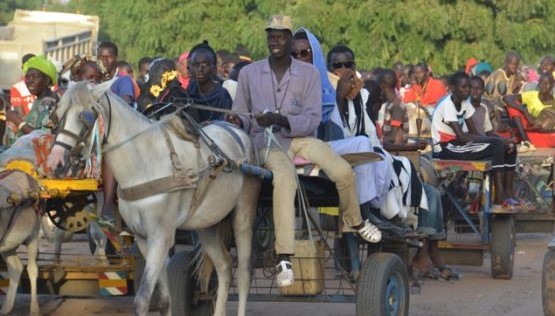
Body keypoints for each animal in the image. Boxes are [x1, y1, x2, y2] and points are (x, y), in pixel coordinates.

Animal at [0, 172, 40, 314]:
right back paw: (6, 308)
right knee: (15, 268)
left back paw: (34, 309)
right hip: (9, 245)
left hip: (33, 236)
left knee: (32, 269)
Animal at [47, 82, 260, 316]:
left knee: (244, 274)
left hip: (243, 215)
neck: (145, 165)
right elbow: (164, 299)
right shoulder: (143, 238)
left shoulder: (160, 237)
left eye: (85, 116)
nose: (55, 162)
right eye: (57, 114)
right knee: (224, 267)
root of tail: (237, 130)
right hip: (208, 224)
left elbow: (142, 298)